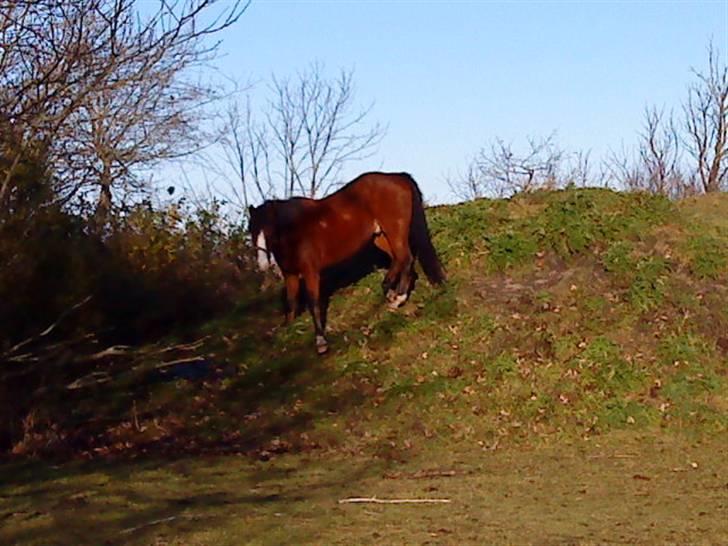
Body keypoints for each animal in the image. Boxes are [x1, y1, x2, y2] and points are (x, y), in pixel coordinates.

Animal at [249, 172, 444, 354]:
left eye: (270, 230)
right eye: (251, 230)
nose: (262, 264)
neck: (295, 230)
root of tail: (398, 177)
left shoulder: (311, 272)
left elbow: (313, 303)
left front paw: (321, 341)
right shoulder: (290, 276)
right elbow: (291, 303)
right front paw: (285, 333)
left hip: (395, 231)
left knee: (406, 258)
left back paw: (399, 298)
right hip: (380, 236)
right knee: (399, 260)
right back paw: (391, 292)